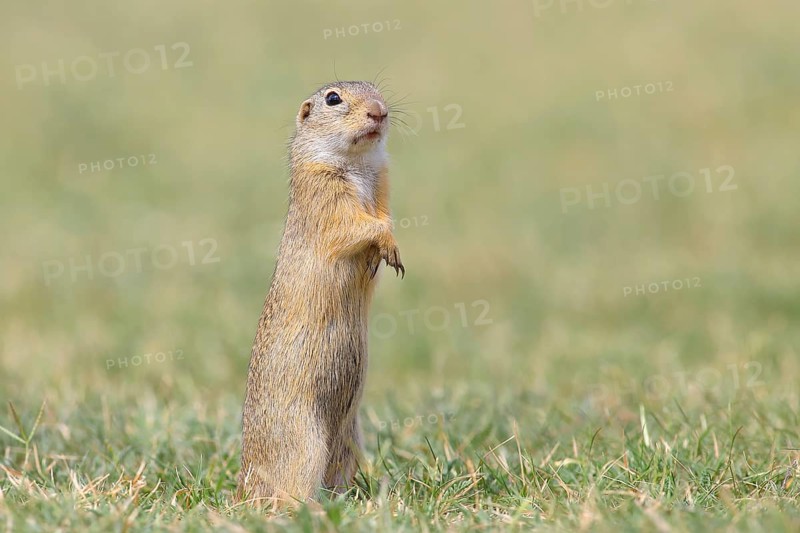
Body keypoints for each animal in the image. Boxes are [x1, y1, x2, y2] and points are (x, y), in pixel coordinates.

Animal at [238, 81, 404, 505]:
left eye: (377, 89)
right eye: (333, 99)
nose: (379, 111)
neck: (359, 164)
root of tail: (244, 487)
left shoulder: (383, 183)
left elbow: (385, 215)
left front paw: (389, 252)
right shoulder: (324, 192)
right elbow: (353, 226)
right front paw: (386, 245)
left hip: (348, 439)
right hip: (304, 441)